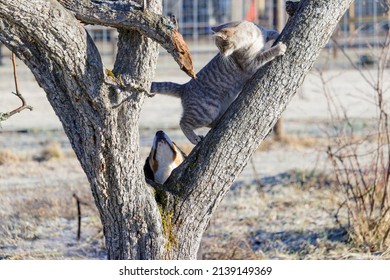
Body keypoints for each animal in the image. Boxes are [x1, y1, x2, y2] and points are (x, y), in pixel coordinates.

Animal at [149, 20, 286, 144]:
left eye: (222, 46)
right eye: (218, 47)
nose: (222, 54)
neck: (251, 35)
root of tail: (185, 87)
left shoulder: (263, 32)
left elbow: (272, 32)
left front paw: (278, 33)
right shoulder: (250, 64)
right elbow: (265, 54)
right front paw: (278, 48)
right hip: (206, 111)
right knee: (183, 122)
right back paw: (194, 138)